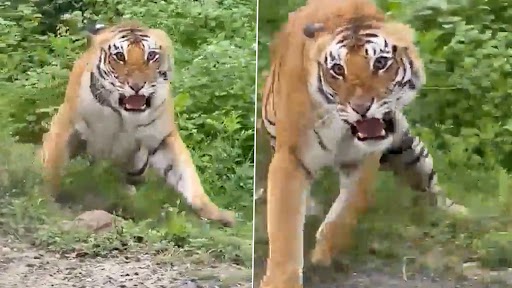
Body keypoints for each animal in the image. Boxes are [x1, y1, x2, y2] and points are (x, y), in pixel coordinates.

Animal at [39, 20, 236, 227]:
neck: (124, 117)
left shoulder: (162, 137)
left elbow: (187, 177)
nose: (137, 86)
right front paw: (46, 200)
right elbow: (53, 167)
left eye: (151, 56)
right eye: (119, 56)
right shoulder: (66, 124)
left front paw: (218, 214)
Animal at [260, 1, 468, 286]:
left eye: (380, 63)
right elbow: (285, 228)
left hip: (405, 149)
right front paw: (281, 279)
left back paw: (458, 212)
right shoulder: (292, 156)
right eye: (338, 69)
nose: (361, 108)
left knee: (430, 185)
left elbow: (346, 212)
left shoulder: (365, 158)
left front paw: (323, 254)